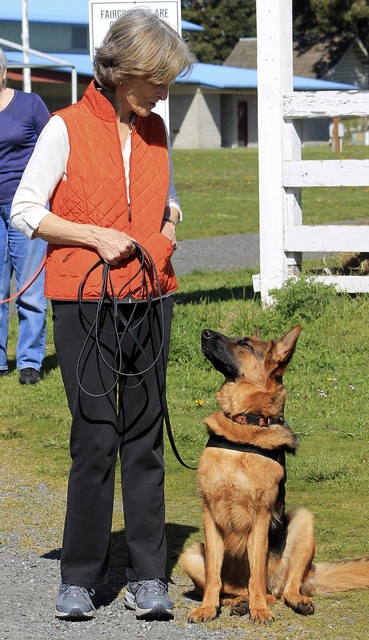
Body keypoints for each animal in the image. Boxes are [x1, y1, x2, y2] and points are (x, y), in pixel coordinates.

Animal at [180, 328, 368, 624]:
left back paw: (281, 600)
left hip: (303, 523)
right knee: (230, 589)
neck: (244, 423)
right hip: (190, 554)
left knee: (281, 589)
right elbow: (213, 577)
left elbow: (256, 571)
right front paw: (207, 608)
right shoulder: (209, 513)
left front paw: (259, 610)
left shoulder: (261, 515)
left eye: (245, 344)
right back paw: (240, 602)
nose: (205, 333)